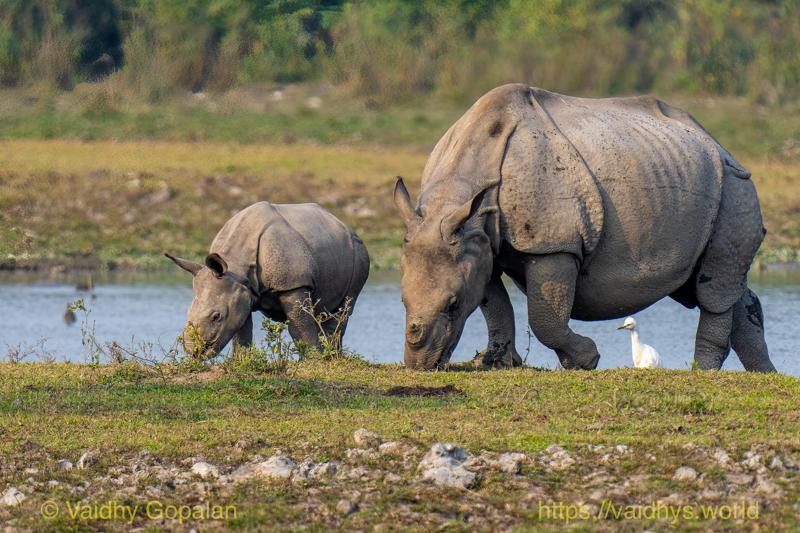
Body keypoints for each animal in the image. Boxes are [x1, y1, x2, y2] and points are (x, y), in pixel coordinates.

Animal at [166, 201, 369, 357]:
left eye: (217, 316)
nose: (193, 350)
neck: (236, 266)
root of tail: (344, 224)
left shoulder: (293, 284)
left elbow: (300, 326)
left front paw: (314, 361)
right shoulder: (241, 289)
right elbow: (242, 330)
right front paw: (240, 362)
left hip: (359, 252)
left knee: (343, 310)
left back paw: (333, 357)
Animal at [394, 83, 775, 372]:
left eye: (453, 304)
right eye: (401, 300)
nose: (419, 364)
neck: (458, 198)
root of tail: (720, 144)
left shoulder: (553, 242)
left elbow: (544, 319)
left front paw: (585, 360)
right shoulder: (479, 241)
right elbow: (495, 304)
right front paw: (496, 362)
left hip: (734, 187)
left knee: (714, 289)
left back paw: (702, 372)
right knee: (712, 286)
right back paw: (763, 374)